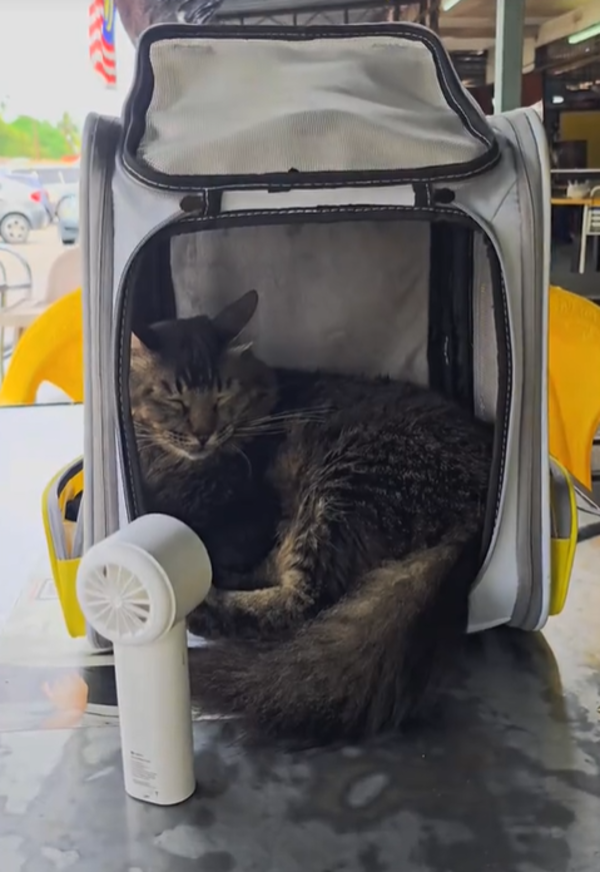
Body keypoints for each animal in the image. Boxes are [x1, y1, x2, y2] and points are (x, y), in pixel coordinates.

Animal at [130, 292, 492, 744]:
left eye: (221, 397)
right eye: (174, 400)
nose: (202, 434)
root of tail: (484, 499)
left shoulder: (250, 517)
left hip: (338, 490)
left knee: (302, 604)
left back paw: (204, 608)